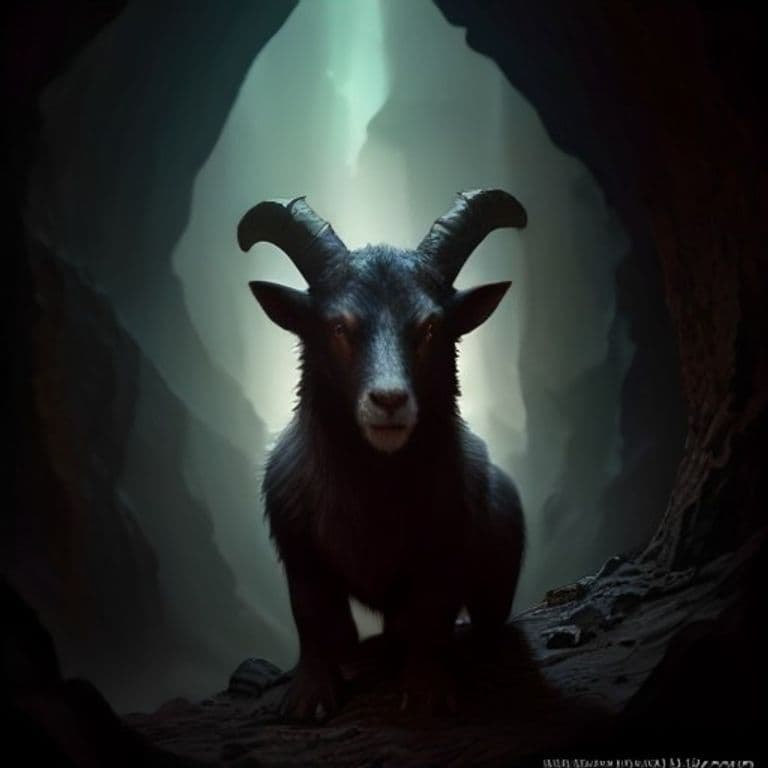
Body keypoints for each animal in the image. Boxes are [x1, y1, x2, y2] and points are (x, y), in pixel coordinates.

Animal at [238, 189, 526, 721]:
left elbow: (431, 615)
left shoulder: (444, 549)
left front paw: (427, 691)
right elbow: (313, 617)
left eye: (431, 326)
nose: (389, 400)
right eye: (336, 326)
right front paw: (309, 696)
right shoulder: (300, 553)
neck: (372, 494)